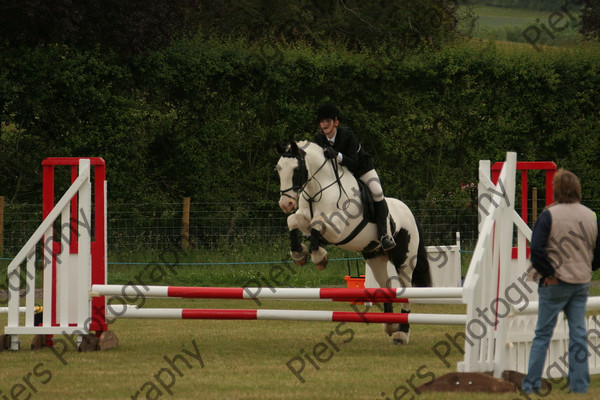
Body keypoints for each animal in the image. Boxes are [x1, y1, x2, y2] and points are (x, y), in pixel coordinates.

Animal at [276, 140, 432, 344]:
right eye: (278, 169)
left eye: (296, 169)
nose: (285, 204)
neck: (317, 192)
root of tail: (409, 213)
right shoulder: (303, 218)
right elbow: (292, 221)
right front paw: (299, 254)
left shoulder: (338, 228)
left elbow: (317, 224)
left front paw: (319, 257)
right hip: (376, 258)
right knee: (387, 286)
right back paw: (390, 325)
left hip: (404, 260)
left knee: (405, 291)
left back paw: (401, 333)